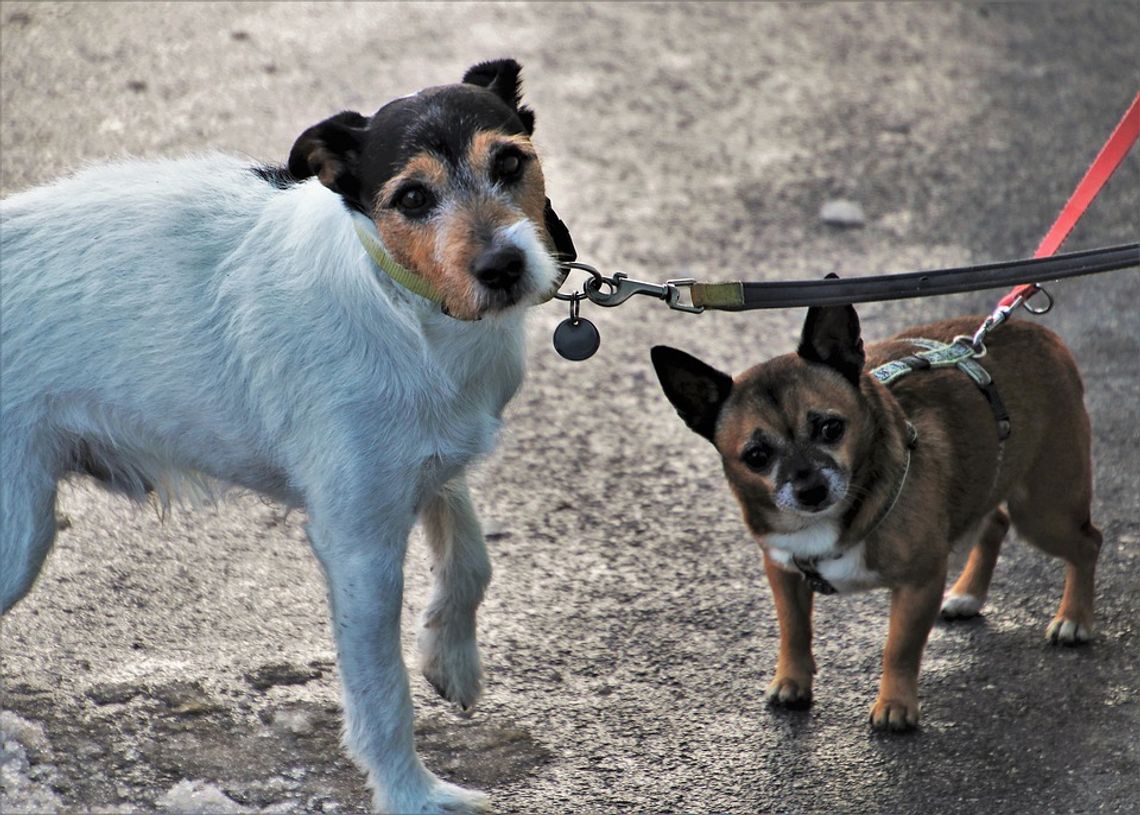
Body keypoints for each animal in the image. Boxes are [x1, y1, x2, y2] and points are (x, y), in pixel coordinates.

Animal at [0, 58, 570, 815]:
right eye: (413, 197)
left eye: (508, 162)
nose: (503, 268)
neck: (406, 303)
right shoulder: (358, 543)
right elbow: (383, 694)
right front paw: (412, 794)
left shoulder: (422, 466)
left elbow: (471, 555)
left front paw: (451, 659)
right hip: (18, 533)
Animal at [656, 305, 1098, 734]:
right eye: (756, 456)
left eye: (831, 428)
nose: (810, 489)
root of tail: (1040, 333)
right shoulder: (782, 571)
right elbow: (794, 631)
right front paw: (792, 681)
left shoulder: (919, 583)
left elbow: (899, 648)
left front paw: (895, 705)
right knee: (995, 523)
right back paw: (969, 594)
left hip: (1044, 512)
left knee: (1089, 542)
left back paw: (1073, 619)